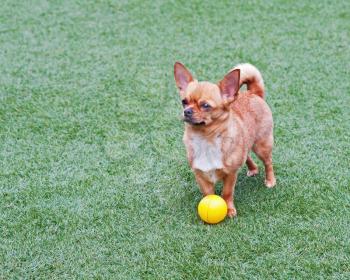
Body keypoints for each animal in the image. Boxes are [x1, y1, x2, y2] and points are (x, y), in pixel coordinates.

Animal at [174, 62, 274, 218]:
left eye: (205, 105)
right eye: (184, 102)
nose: (187, 111)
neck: (206, 139)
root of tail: (253, 93)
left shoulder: (230, 175)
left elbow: (227, 193)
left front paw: (230, 210)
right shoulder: (200, 175)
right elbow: (208, 194)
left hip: (261, 145)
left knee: (268, 162)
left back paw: (270, 181)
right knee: (247, 156)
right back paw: (253, 169)